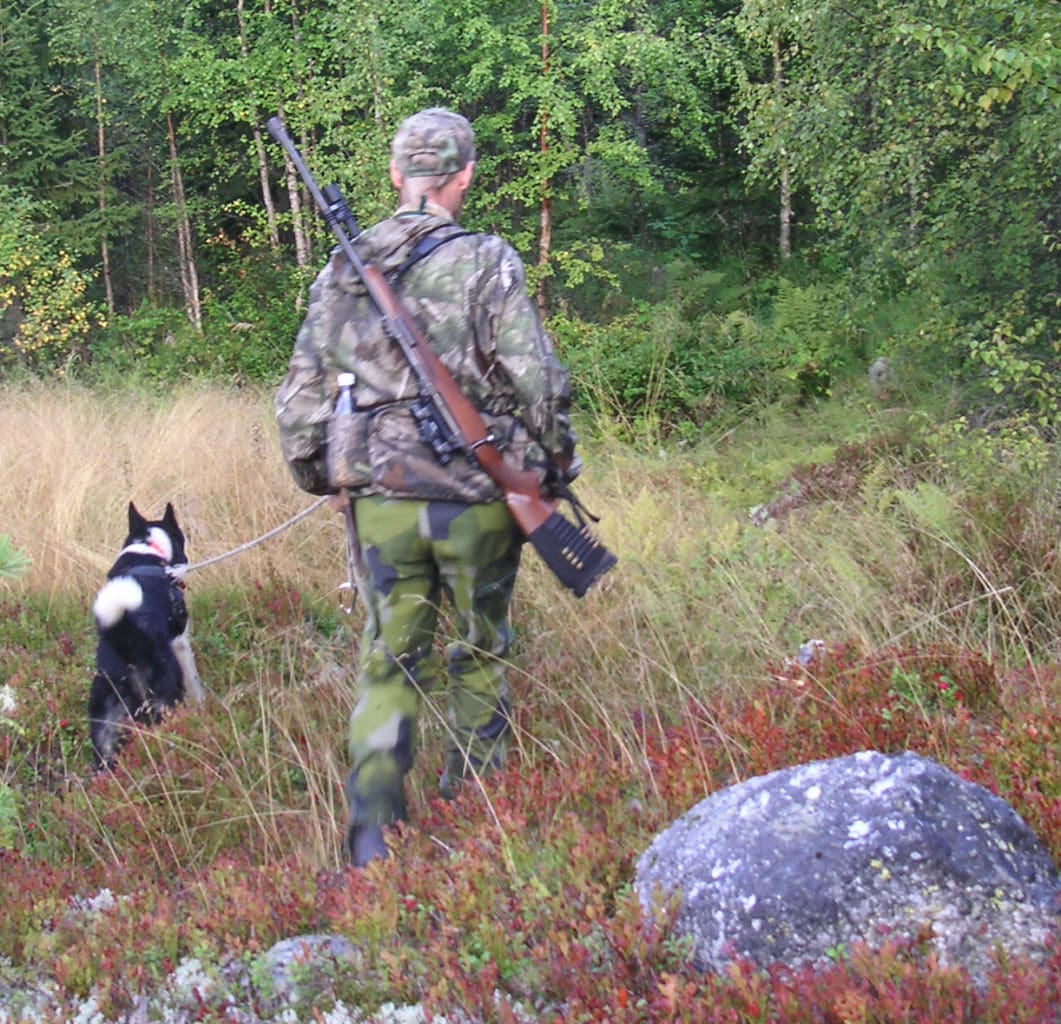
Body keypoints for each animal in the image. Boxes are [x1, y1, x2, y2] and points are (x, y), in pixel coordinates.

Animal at [88, 502, 203, 768]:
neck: (147, 550)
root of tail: (124, 636)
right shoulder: (180, 643)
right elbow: (194, 679)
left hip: (105, 718)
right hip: (165, 694)